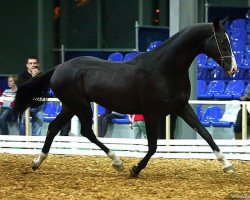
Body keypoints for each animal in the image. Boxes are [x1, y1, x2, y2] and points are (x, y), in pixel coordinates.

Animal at [13, 17, 236, 177]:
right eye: (222, 41)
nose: (233, 69)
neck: (163, 70)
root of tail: (58, 67)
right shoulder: (151, 113)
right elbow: (153, 146)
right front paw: (135, 169)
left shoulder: (182, 107)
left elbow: (205, 134)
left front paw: (228, 166)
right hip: (79, 105)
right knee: (86, 132)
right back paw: (118, 162)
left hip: (70, 106)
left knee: (53, 128)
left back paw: (36, 162)